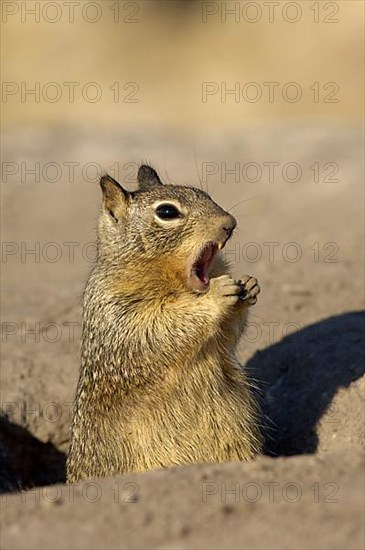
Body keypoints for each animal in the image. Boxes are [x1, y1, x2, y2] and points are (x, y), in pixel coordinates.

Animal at [67, 165, 262, 484]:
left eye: (204, 193)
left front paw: (248, 284)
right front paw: (217, 294)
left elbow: (227, 337)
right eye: (167, 212)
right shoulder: (118, 314)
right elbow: (158, 328)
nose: (229, 223)